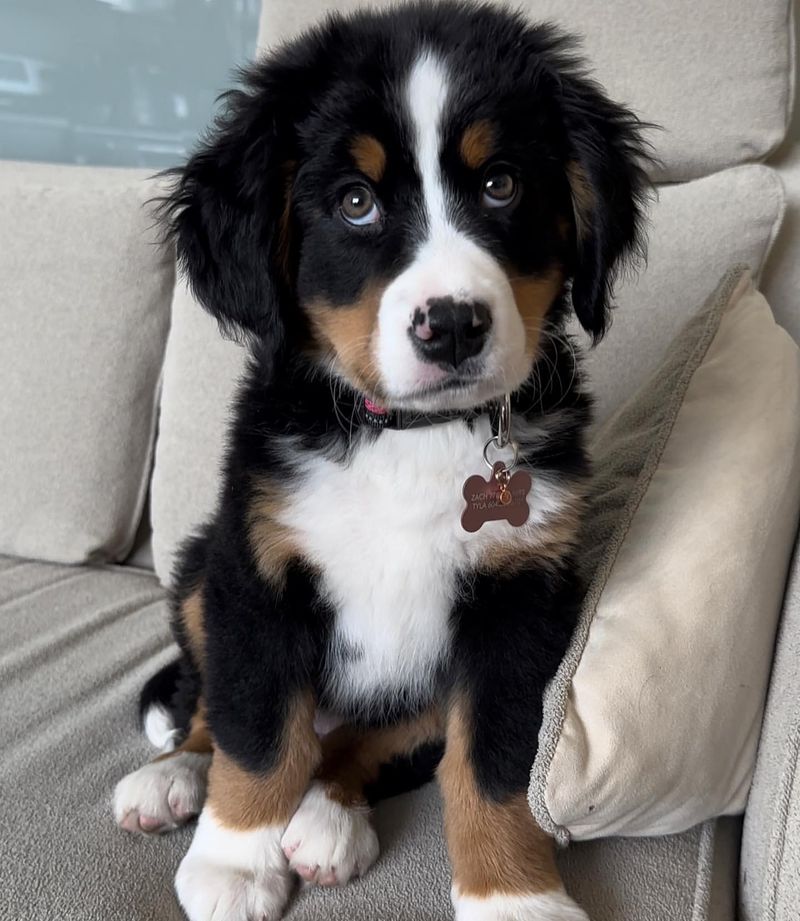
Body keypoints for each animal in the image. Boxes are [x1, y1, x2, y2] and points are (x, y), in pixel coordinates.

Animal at [112, 3, 648, 916]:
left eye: (502, 184)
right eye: (355, 202)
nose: (454, 324)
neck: (409, 435)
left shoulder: (521, 601)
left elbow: (494, 766)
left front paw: (514, 895)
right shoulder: (257, 570)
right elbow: (258, 732)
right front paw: (236, 859)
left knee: (371, 740)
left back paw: (328, 816)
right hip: (198, 568)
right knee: (215, 704)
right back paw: (174, 775)